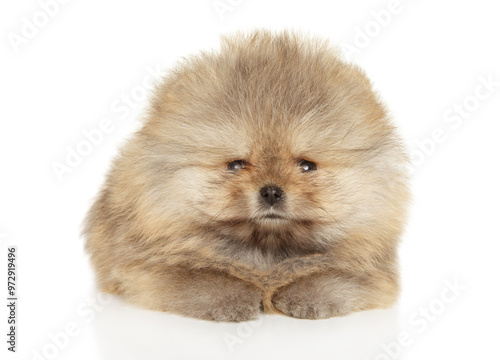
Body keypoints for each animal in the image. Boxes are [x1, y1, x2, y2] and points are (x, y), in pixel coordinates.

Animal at [83, 30, 410, 320]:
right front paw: (234, 298)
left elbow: (334, 277)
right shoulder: (150, 266)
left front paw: (302, 295)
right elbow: (199, 279)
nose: (271, 191)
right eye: (237, 165)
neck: (265, 248)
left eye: (307, 166)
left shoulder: (370, 266)